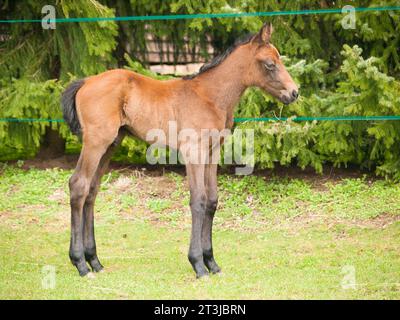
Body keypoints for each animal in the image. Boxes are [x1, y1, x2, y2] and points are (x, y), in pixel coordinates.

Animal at [62, 23, 298, 278]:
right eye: (270, 64)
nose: (294, 92)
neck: (210, 97)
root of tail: (86, 81)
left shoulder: (213, 152)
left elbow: (212, 200)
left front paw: (211, 262)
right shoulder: (194, 151)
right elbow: (199, 200)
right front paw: (198, 264)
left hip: (110, 144)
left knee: (91, 191)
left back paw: (94, 261)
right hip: (96, 142)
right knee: (79, 185)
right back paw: (80, 263)